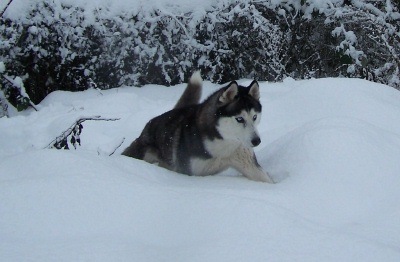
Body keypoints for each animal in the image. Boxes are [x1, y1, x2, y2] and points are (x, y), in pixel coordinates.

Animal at [122, 70, 274, 183]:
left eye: (254, 117)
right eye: (239, 119)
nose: (256, 141)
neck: (223, 145)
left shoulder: (249, 164)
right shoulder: (188, 172)